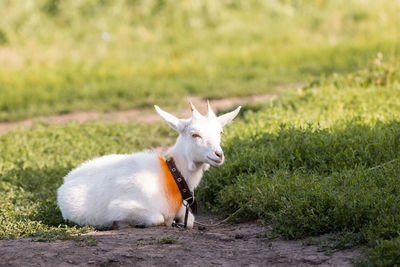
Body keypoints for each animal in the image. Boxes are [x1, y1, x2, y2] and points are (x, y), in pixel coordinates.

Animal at [56, 103, 241, 229]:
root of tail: (66, 179)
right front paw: (120, 224)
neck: (171, 178)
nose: (219, 155)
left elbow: (189, 222)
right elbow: (158, 219)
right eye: (194, 134)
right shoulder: (122, 207)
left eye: (220, 132)